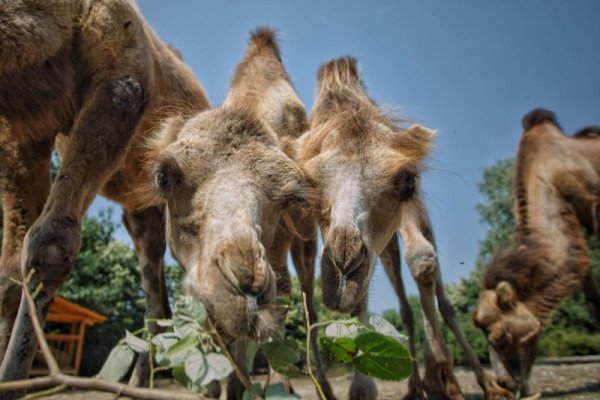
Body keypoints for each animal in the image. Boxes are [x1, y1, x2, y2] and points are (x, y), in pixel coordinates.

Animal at [0, 0, 211, 394]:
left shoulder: (121, 86)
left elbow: (51, 243)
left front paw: (12, 379)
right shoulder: (24, 130)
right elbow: (9, 271)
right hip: (142, 215)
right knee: (158, 300)